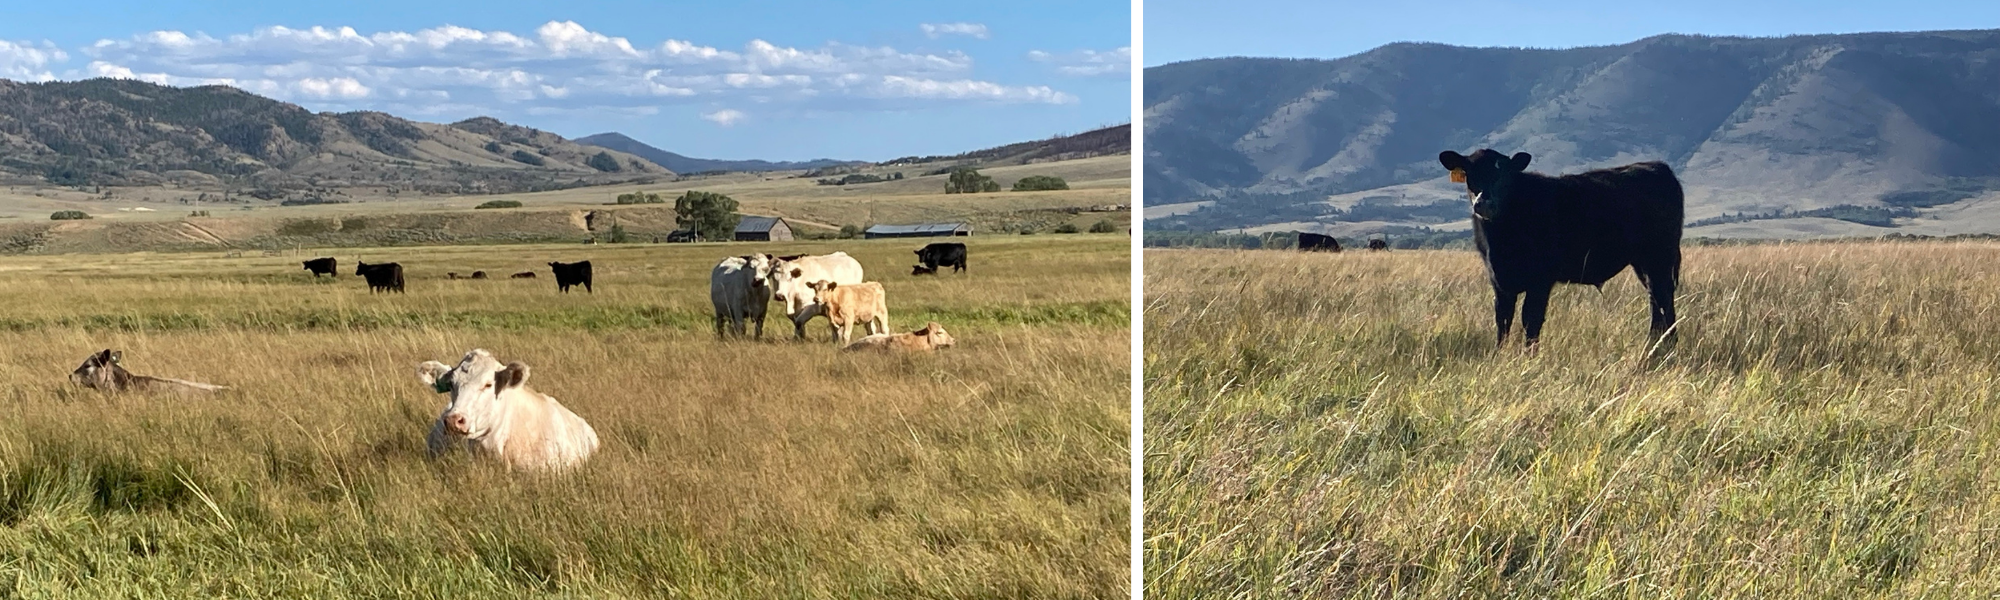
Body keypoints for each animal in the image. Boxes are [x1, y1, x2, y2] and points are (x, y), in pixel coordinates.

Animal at [1440, 147, 1688, 350]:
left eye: (1504, 175)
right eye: (1470, 174)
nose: (1484, 203)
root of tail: (1657, 166)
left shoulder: (1540, 280)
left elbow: (1531, 320)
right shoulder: (1499, 281)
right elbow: (1503, 320)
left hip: (1660, 257)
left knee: (1663, 297)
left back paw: (1665, 345)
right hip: (1643, 262)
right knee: (1655, 299)